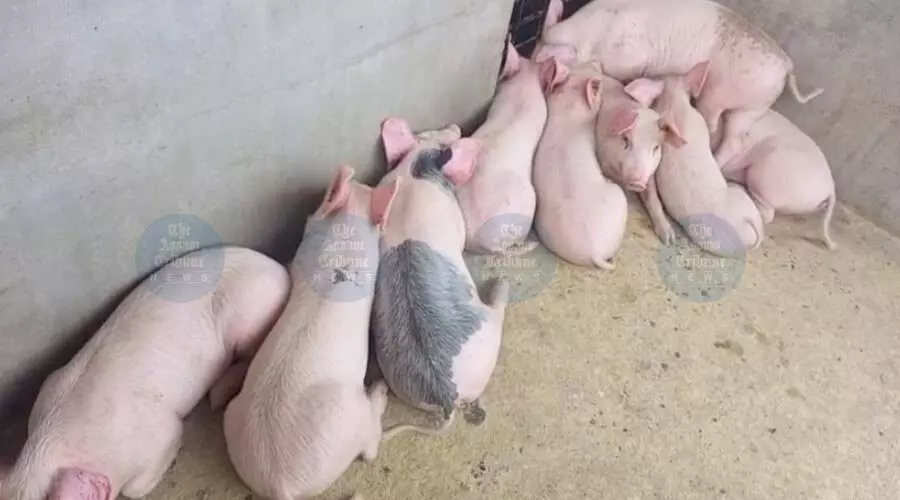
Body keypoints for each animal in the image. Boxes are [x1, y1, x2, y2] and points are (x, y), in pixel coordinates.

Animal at [0, 246, 290, 500]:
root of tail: (280, 271)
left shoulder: (161, 432)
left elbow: (135, 487)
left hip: (250, 321)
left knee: (249, 356)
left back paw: (216, 398)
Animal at [221, 165, 402, 500]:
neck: (345, 237)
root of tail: (280, 484)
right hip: (352, 417)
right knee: (370, 449)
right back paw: (380, 390)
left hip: (232, 414)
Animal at [372, 116, 510, 428]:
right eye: (446, 142)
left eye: (427, 132)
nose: (455, 126)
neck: (414, 172)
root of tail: (447, 397)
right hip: (488, 335)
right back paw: (502, 283)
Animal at [532, 57, 628, 269]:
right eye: (594, 70)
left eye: (576, 66)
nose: (597, 61)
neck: (570, 110)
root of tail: (595, 253)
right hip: (618, 198)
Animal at [535, 0, 823, 169]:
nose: (537, 61)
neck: (588, 38)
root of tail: (786, 65)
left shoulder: (630, 58)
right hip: (753, 107)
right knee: (735, 137)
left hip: (724, 96)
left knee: (717, 127)